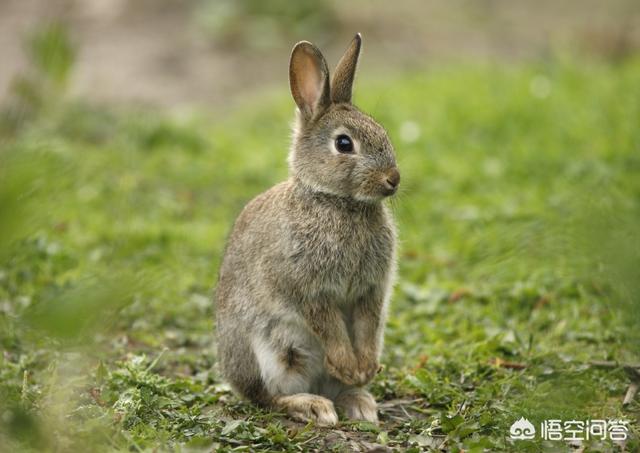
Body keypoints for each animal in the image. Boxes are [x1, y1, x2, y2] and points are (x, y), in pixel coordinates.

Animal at [218, 33, 402, 426]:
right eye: (344, 143)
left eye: (382, 132)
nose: (393, 179)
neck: (338, 202)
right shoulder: (310, 290)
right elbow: (328, 325)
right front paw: (349, 366)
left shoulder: (371, 290)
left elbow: (367, 323)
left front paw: (363, 369)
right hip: (271, 355)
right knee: (267, 398)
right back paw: (313, 406)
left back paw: (359, 401)